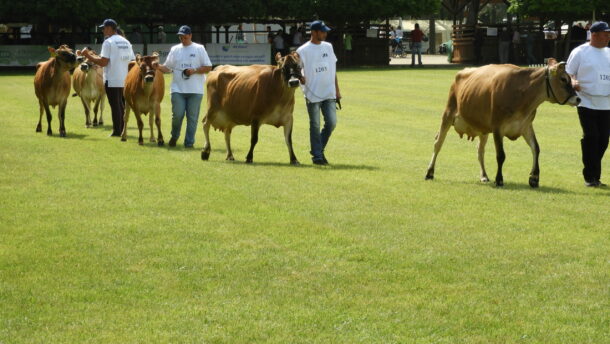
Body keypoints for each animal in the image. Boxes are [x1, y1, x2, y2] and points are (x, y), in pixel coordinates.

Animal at [426, 60, 576, 187]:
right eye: (563, 79)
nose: (578, 99)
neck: (522, 93)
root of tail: (463, 71)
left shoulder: (526, 126)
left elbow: (536, 148)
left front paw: (534, 178)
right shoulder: (497, 127)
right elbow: (501, 155)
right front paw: (499, 179)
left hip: (483, 128)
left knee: (480, 150)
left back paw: (484, 176)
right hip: (448, 114)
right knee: (438, 143)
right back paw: (429, 172)